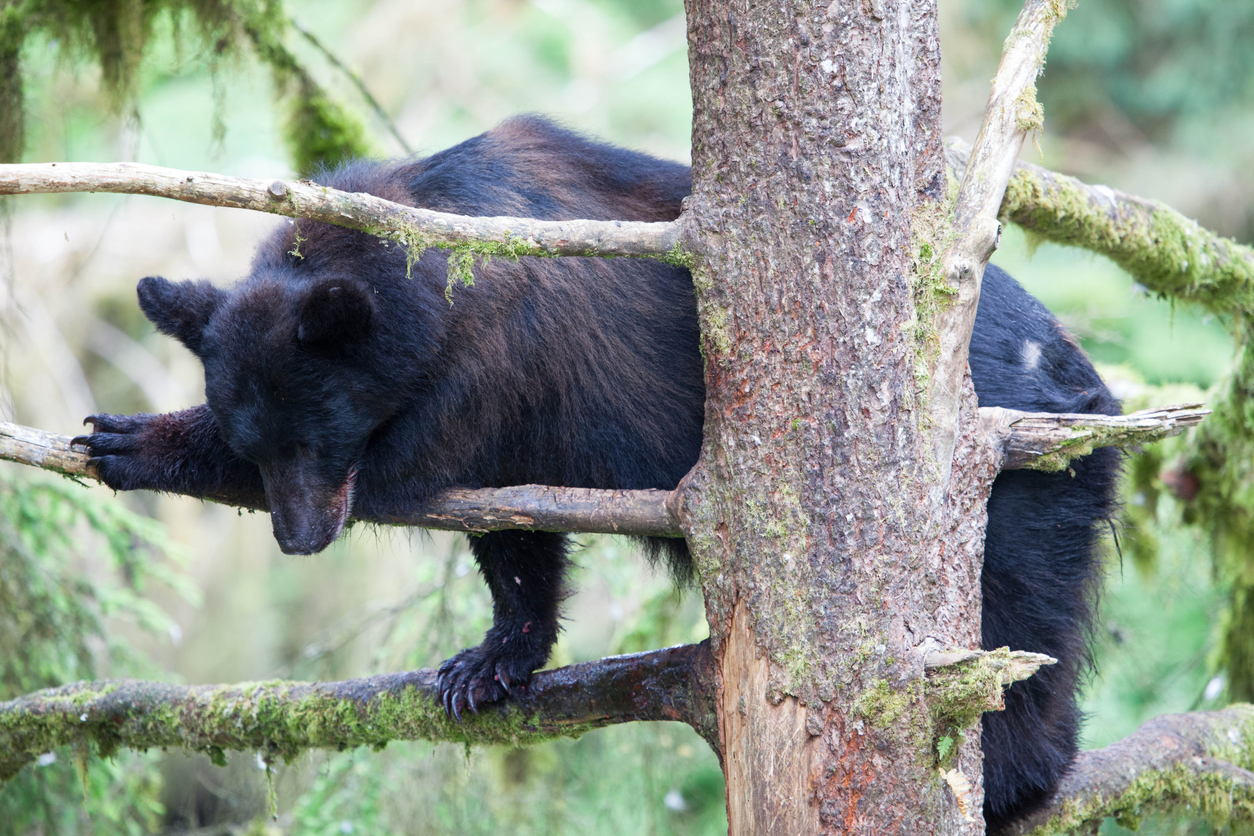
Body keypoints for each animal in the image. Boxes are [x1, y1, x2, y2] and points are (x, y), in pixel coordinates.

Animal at [76, 116, 1119, 832]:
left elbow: (422, 474)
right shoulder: (516, 418)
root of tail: (1089, 386)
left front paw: (140, 438)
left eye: (314, 436)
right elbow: (511, 531)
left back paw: (1011, 780)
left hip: (1020, 489)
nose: (299, 539)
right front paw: (489, 663)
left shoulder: (490, 360)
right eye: (263, 442)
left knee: (1015, 631)